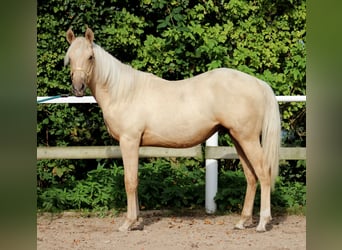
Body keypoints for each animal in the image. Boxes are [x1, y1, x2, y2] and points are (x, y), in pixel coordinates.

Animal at [64, 27, 280, 232]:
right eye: (70, 57)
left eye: (90, 57)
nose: (78, 88)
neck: (123, 92)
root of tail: (258, 83)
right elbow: (136, 181)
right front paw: (136, 222)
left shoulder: (129, 141)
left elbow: (130, 181)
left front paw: (128, 223)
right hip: (238, 139)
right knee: (251, 177)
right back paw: (243, 222)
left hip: (248, 139)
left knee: (263, 173)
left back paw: (262, 222)